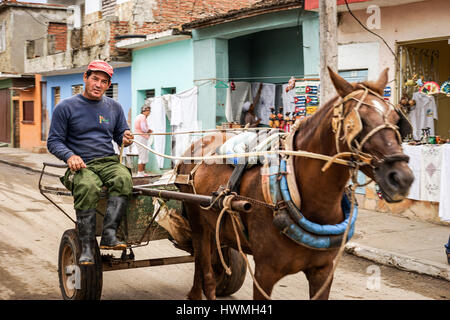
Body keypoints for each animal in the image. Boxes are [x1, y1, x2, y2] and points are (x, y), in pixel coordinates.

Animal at [176, 68, 414, 300]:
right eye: (358, 120)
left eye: (396, 118)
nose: (402, 178)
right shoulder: (264, 273)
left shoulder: (323, 272)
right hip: (197, 220)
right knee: (203, 261)